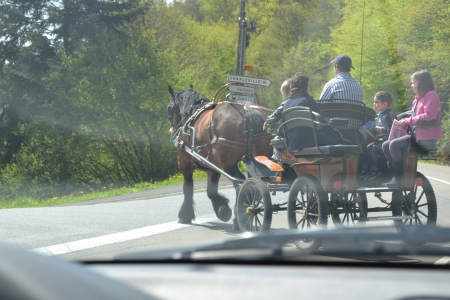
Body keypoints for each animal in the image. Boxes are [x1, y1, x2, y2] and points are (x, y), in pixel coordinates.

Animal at [165, 85, 270, 229]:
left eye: (169, 108)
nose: (172, 130)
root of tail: (248, 112)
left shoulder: (184, 162)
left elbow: (188, 188)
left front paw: (185, 215)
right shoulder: (212, 167)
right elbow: (211, 190)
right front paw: (222, 209)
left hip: (227, 164)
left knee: (240, 183)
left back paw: (239, 219)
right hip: (256, 160)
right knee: (251, 183)